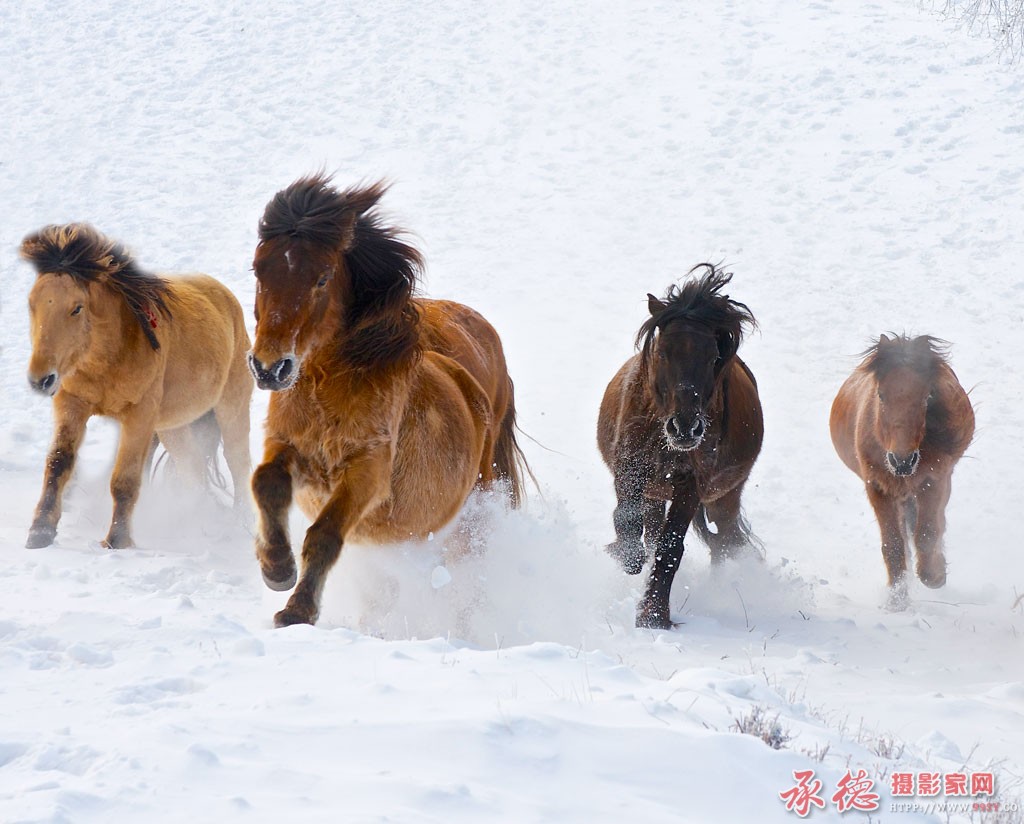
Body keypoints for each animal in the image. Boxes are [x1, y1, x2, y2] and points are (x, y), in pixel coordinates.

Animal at [21, 222, 251, 548]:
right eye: (32, 303)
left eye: (77, 308)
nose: (41, 379)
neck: (106, 360)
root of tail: (226, 300)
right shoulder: (72, 403)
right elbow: (58, 463)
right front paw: (40, 531)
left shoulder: (138, 416)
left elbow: (125, 478)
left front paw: (117, 540)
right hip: (173, 428)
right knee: (193, 470)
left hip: (231, 409)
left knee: (238, 463)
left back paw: (240, 524)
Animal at [247, 171, 528, 622]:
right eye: (259, 270)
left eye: (322, 278)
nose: (270, 368)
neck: (328, 386)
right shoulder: (286, 444)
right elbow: (265, 484)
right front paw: (277, 568)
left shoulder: (368, 469)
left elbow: (324, 535)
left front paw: (297, 611)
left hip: (467, 520)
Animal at [598, 266, 765, 626]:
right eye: (662, 352)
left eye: (714, 356)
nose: (685, 426)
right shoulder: (630, 470)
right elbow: (628, 520)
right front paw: (626, 557)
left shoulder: (690, 485)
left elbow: (670, 547)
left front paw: (653, 615)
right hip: (655, 490)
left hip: (723, 498)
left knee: (724, 541)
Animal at [827, 331, 970, 605]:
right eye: (881, 395)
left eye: (926, 396)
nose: (901, 461)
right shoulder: (878, 488)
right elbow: (893, 545)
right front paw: (897, 601)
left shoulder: (933, 480)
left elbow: (927, 533)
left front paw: (934, 576)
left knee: (935, 523)